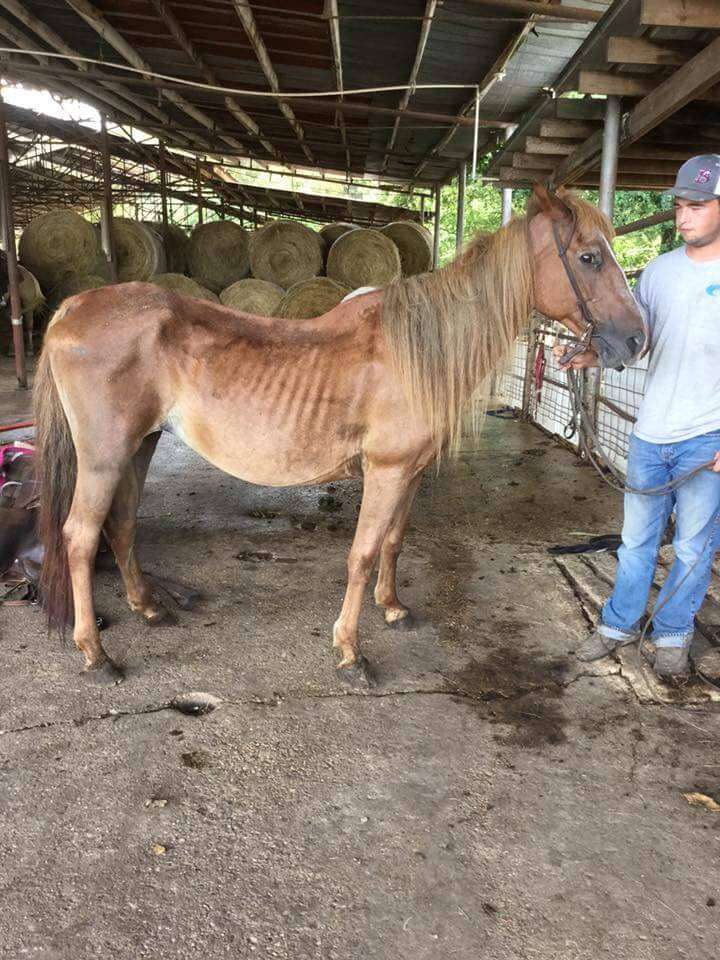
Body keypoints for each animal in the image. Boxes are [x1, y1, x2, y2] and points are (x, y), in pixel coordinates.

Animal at [33, 186, 644, 684]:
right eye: (588, 257)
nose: (637, 340)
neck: (414, 349)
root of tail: (72, 307)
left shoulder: (409, 474)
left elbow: (394, 541)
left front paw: (392, 608)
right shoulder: (387, 471)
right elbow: (363, 552)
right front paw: (351, 652)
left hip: (141, 446)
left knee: (122, 524)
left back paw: (148, 606)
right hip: (105, 456)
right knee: (80, 537)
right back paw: (96, 655)